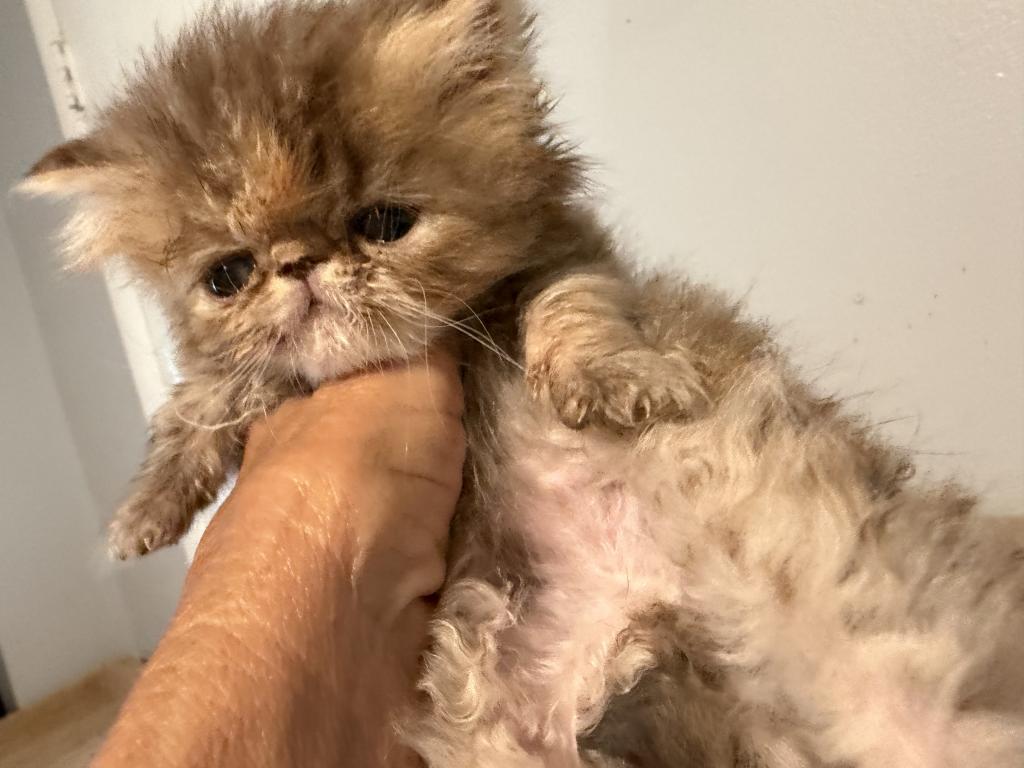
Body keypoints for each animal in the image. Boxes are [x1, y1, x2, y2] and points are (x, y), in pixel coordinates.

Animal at [22, 1, 1024, 766]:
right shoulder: (257, 377)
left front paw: (616, 385)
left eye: (384, 223)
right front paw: (145, 511)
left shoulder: (564, 262)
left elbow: (573, 319)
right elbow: (206, 399)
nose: (300, 264)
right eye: (227, 275)